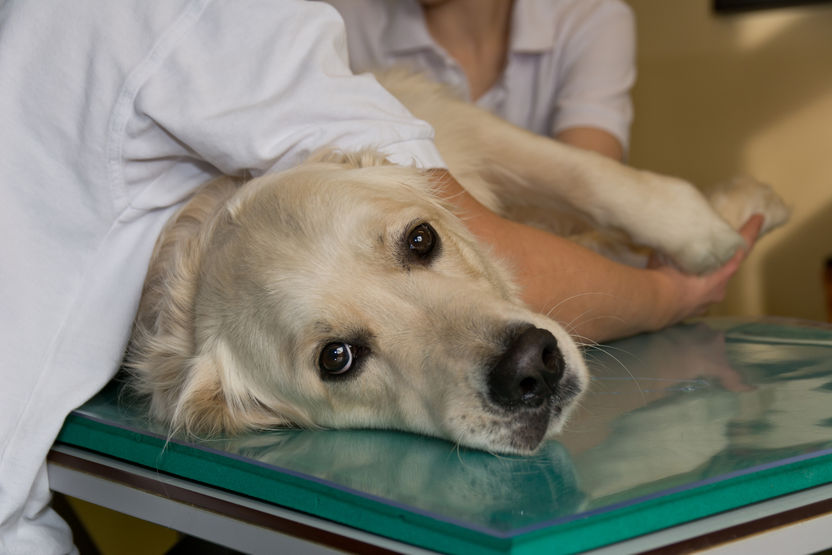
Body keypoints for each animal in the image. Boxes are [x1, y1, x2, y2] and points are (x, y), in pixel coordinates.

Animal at [127, 71, 788, 454]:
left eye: (421, 239)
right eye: (336, 358)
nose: (532, 367)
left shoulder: (452, 127)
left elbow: (586, 173)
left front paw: (703, 228)